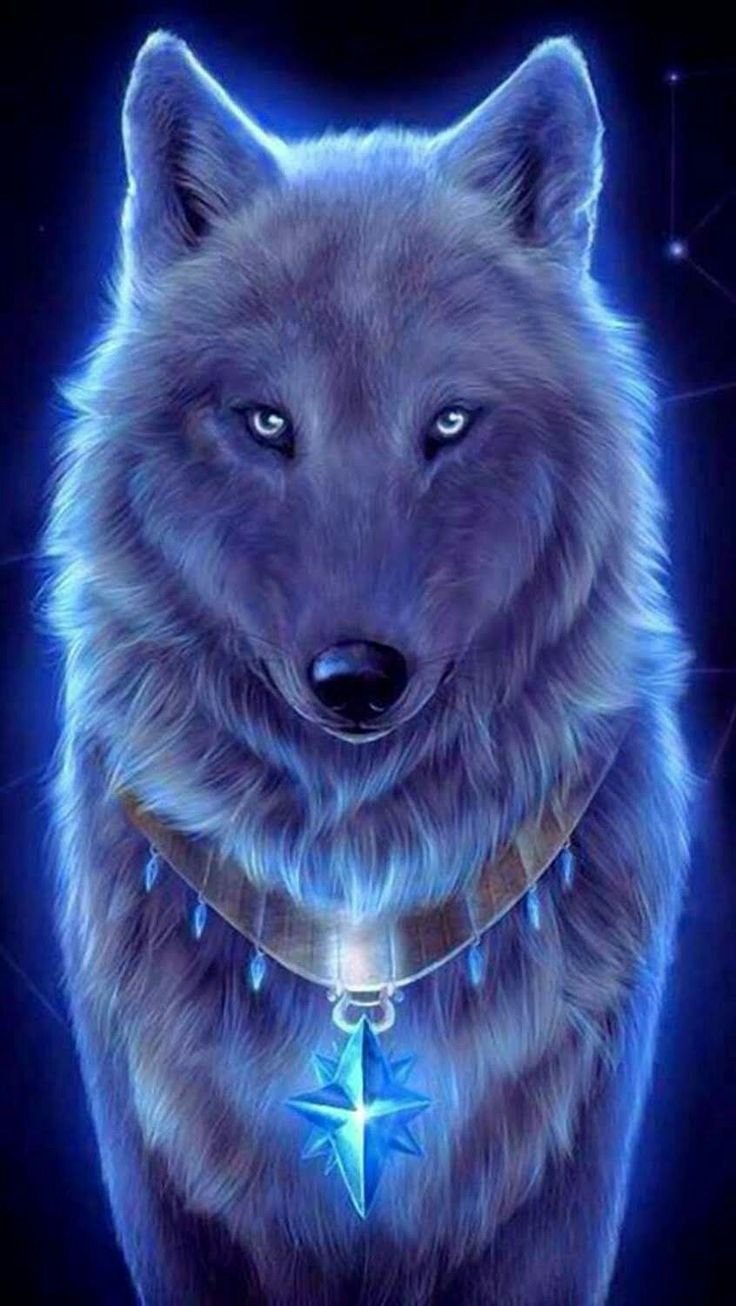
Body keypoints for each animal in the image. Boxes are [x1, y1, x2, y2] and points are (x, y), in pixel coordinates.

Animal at [45, 27, 691, 1306]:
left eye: (447, 423)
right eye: (265, 423)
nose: (355, 676)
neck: (358, 902)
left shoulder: (565, 1181)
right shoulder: (162, 1185)